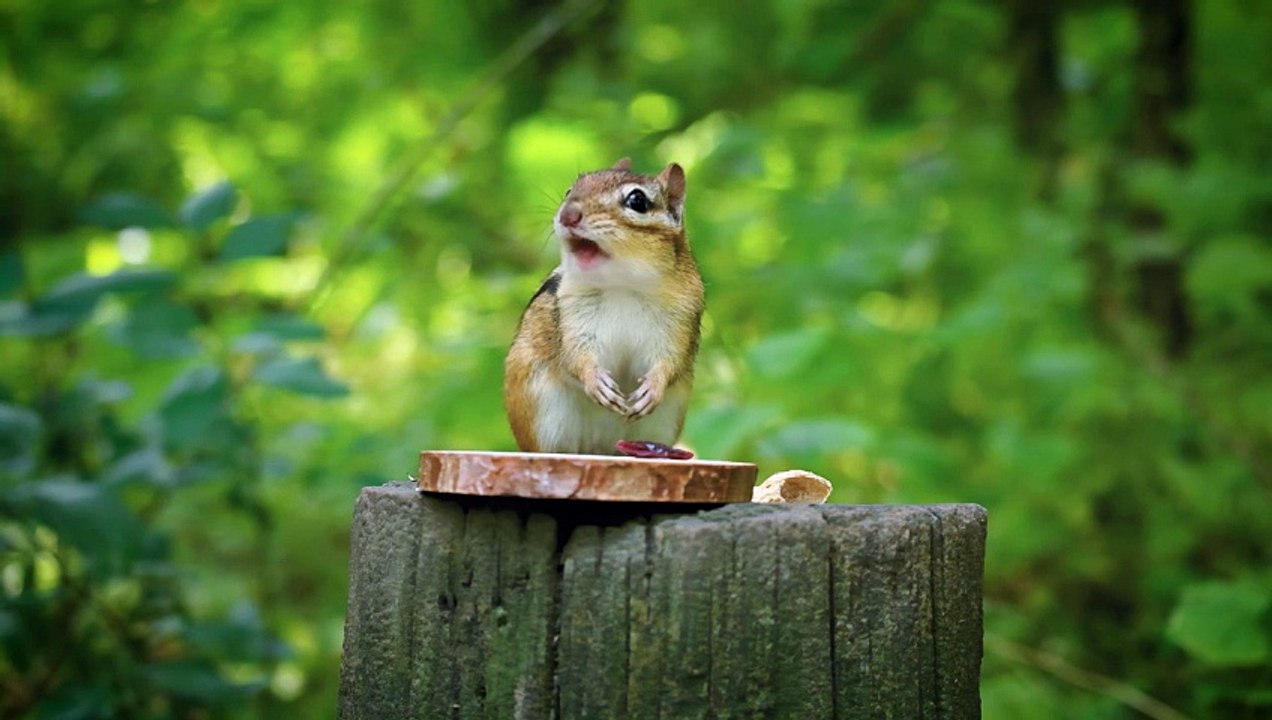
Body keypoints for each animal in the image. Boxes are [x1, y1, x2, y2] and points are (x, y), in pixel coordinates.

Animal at [504, 158, 705, 455]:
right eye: (569, 191)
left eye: (637, 201)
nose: (568, 215)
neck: (621, 285)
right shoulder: (571, 315)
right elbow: (576, 356)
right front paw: (595, 381)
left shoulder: (681, 317)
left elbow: (670, 360)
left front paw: (653, 387)